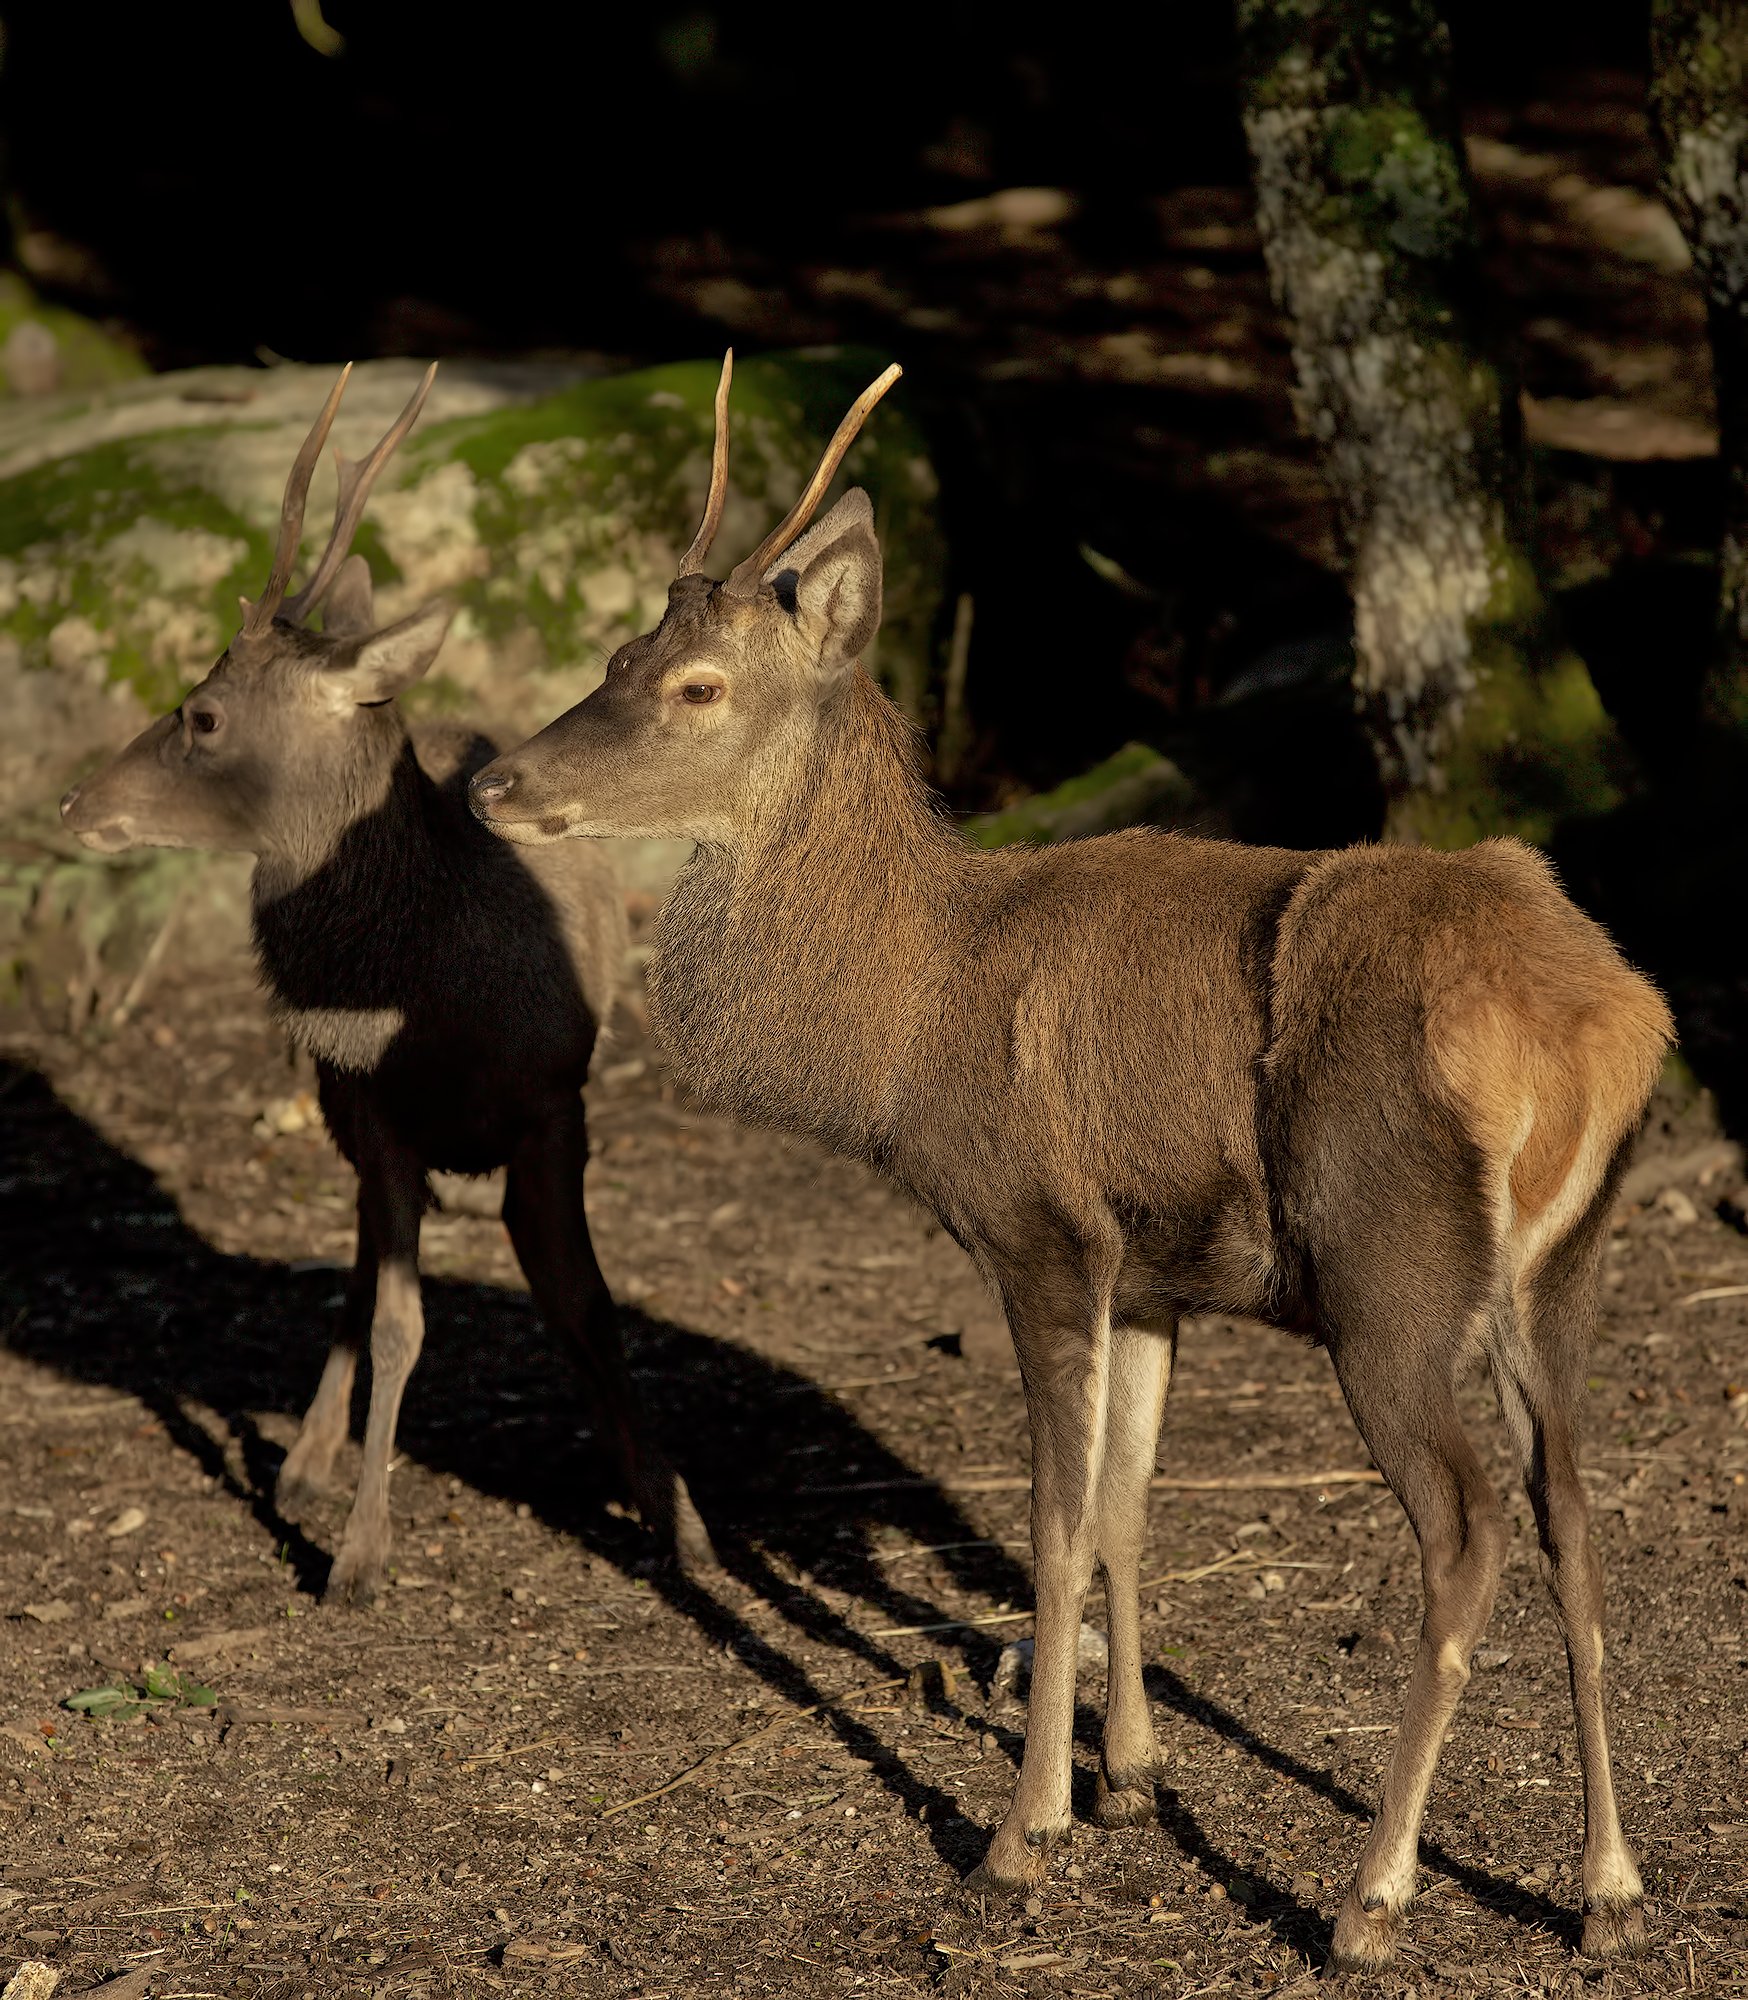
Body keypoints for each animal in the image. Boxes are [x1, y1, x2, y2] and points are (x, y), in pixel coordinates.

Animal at [59, 362, 717, 1602]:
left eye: (202, 713)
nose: (75, 801)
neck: (439, 997)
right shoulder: (377, 1110)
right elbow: (402, 1317)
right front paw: (360, 1550)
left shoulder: (557, 1103)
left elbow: (588, 1303)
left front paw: (676, 1513)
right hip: (336, 1102)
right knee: (364, 1262)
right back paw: (309, 1460)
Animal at [466, 351, 1671, 1971]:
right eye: (612, 649)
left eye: (697, 685)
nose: (493, 786)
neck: (908, 1027)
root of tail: (1603, 1026)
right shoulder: (1152, 1270)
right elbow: (1122, 1508)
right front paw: (1129, 1775)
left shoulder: (1038, 1226)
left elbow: (1043, 1525)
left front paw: (1018, 1837)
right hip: (1564, 1266)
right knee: (1575, 1514)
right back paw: (1607, 1887)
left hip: (1388, 1268)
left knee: (1469, 1528)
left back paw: (1370, 1895)